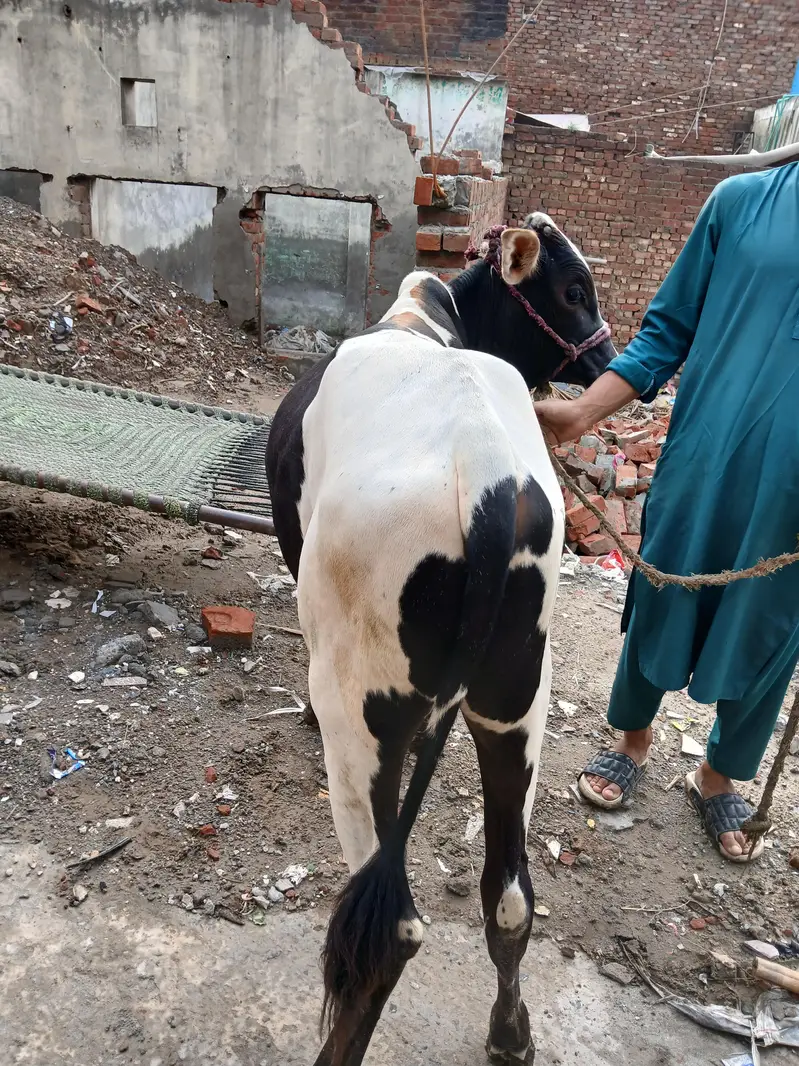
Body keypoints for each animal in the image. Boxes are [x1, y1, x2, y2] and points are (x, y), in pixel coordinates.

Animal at [265, 212, 615, 1066]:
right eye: (572, 291)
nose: (612, 364)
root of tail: (486, 474)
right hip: (517, 702)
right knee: (510, 896)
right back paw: (510, 1033)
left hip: (365, 715)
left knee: (388, 927)